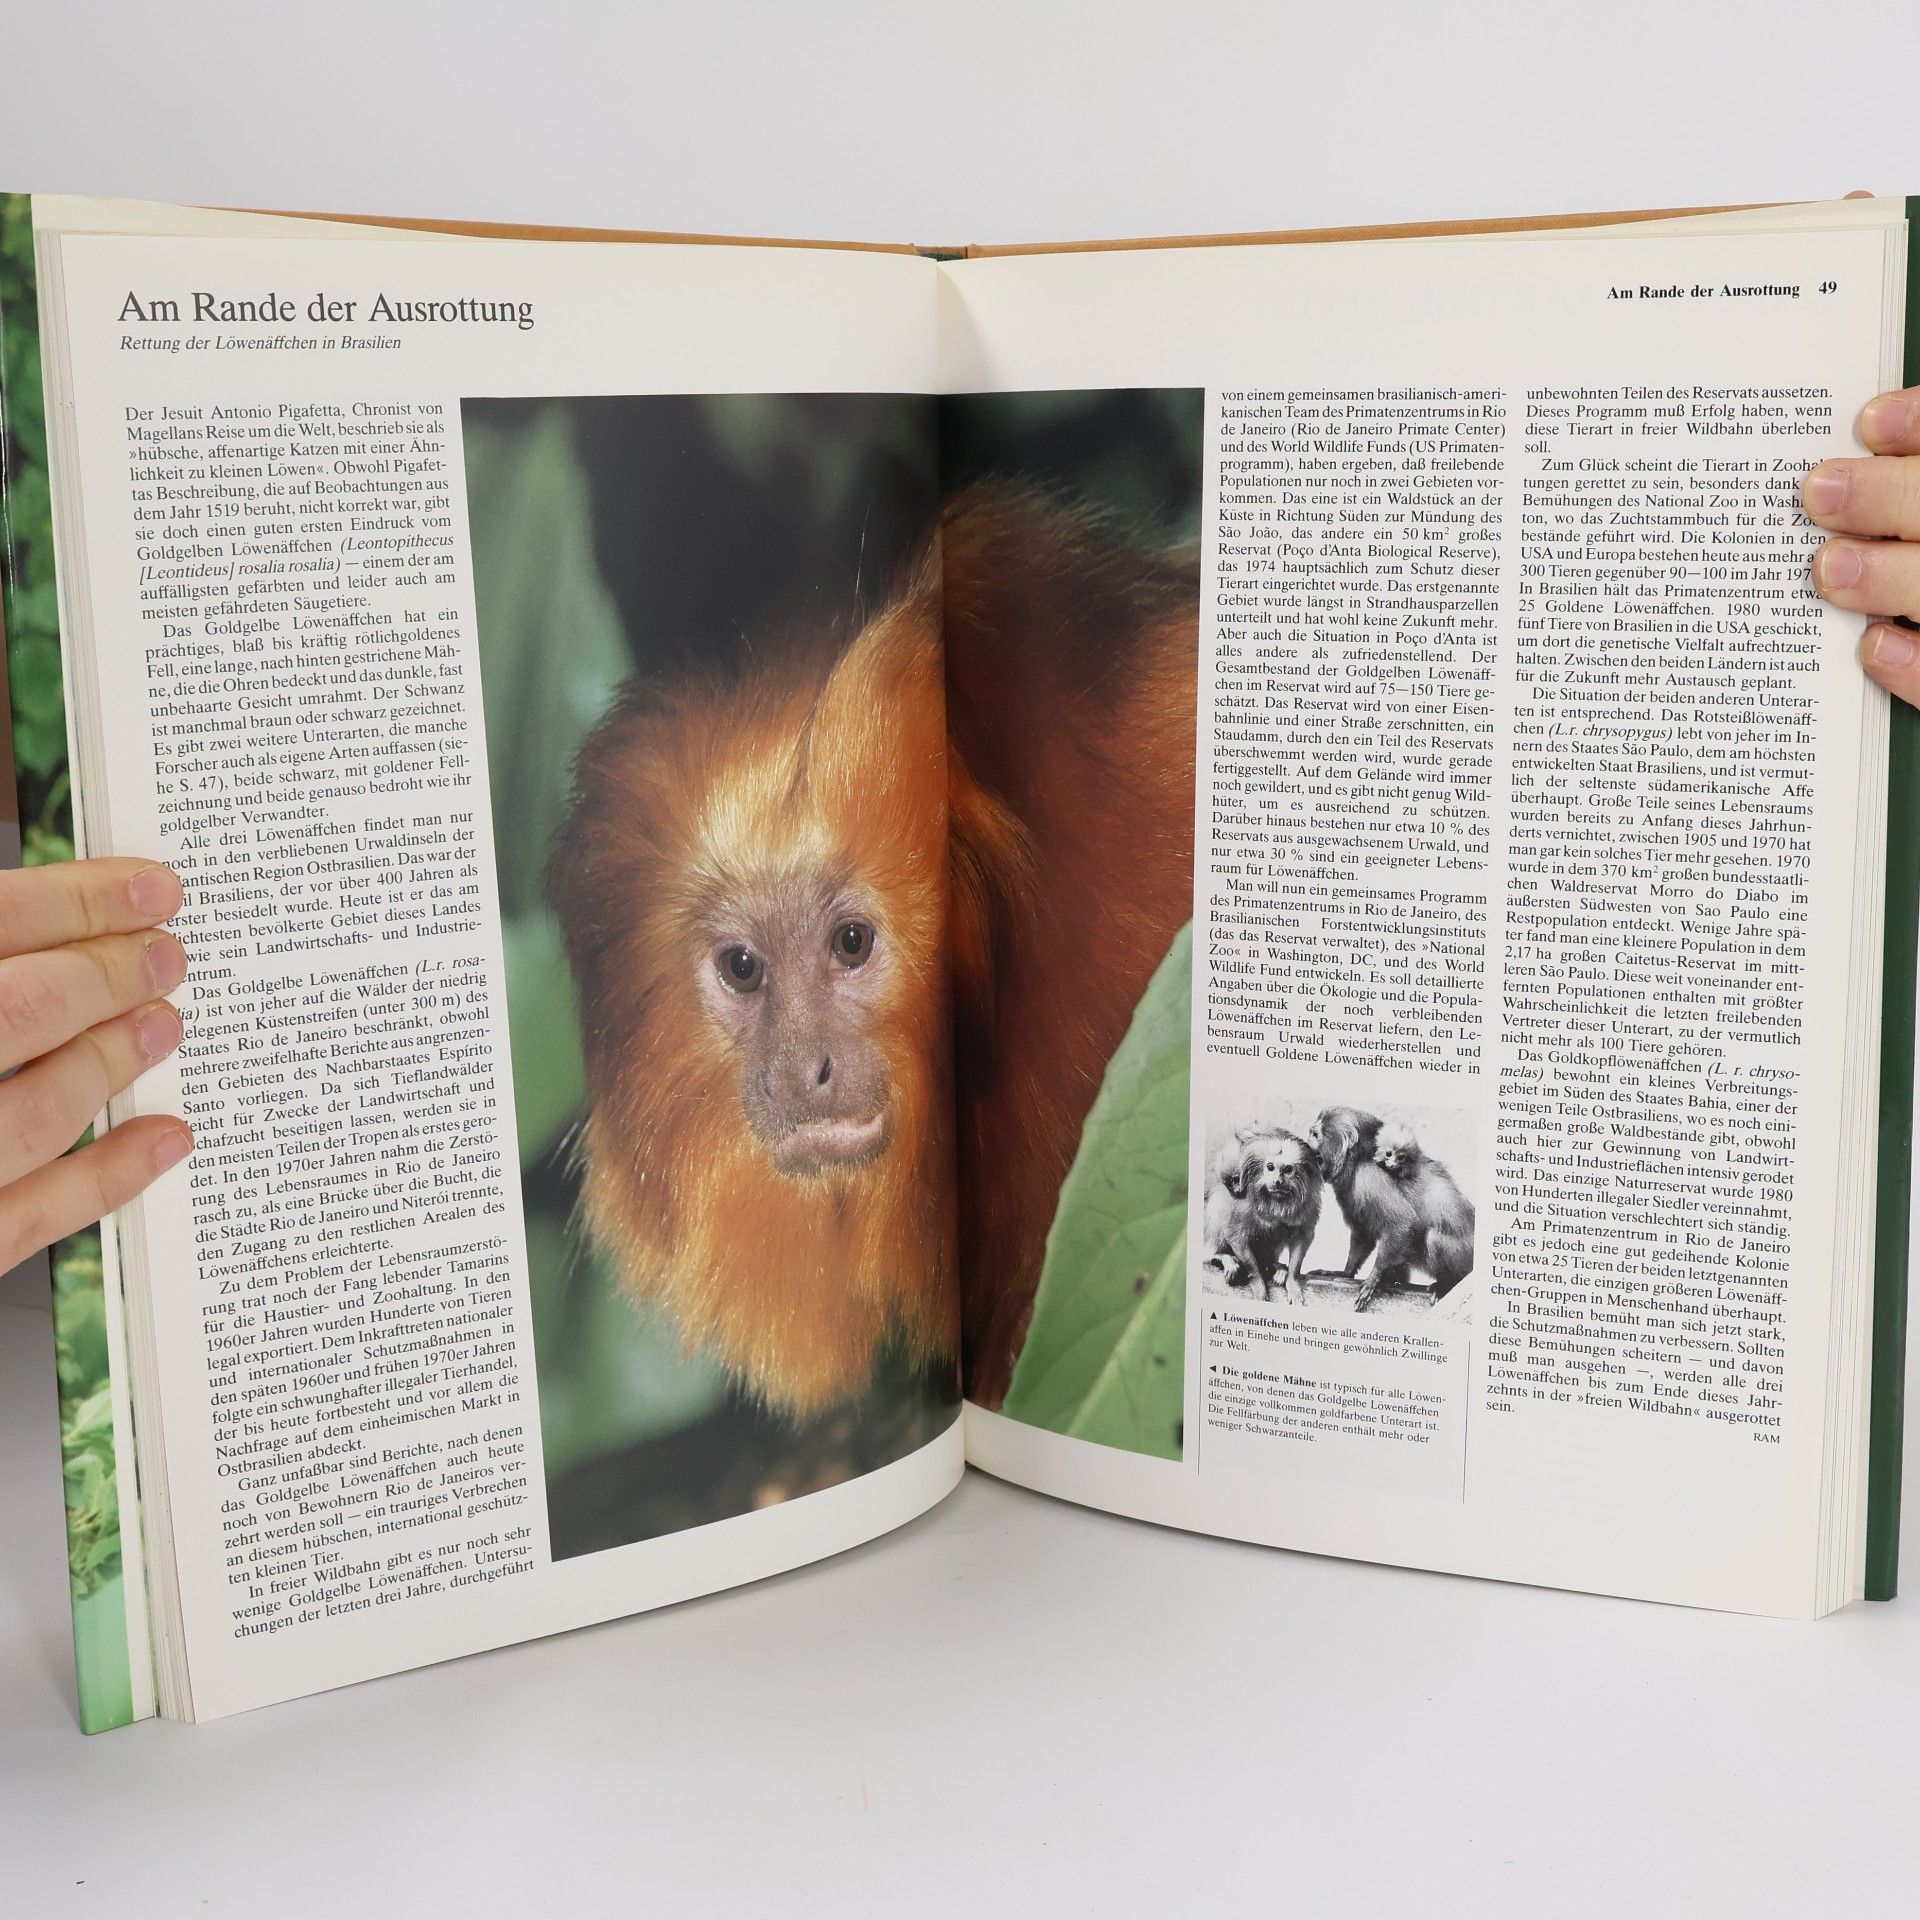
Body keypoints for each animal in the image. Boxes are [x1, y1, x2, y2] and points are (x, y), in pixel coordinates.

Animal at [1202, 1126, 1323, 1304]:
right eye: (1270, 1167)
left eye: (1287, 1170)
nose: (1277, 1181)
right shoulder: (1240, 1201)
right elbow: (1235, 1234)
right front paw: (1258, 1283)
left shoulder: (1309, 1202)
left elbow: (1302, 1237)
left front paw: (1292, 1282)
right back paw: (1222, 1257)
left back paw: (1274, 1267)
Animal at [1372, 1120, 1474, 1300]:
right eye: (1389, 1154)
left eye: (1401, 1157)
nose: (1392, 1164)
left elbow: (1406, 1226)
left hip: (1466, 1255)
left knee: (1434, 1237)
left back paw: (1446, 1284)